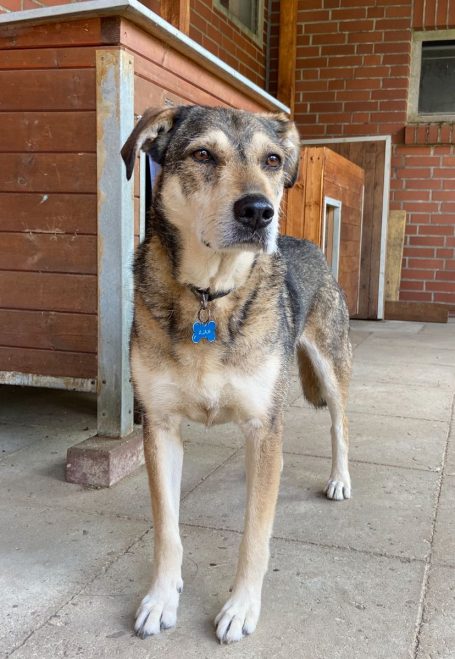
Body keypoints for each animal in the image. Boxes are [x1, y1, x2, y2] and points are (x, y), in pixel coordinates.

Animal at [121, 105, 352, 644]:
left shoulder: (264, 427)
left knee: (339, 424)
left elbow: (255, 534)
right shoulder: (160, 427)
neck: (210, 294)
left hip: (330, 368)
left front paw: (241, 608)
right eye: (203, 154)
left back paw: (339, 480)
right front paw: (161, 598)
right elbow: (167, 529)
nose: (259, 212)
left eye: (272, 161)